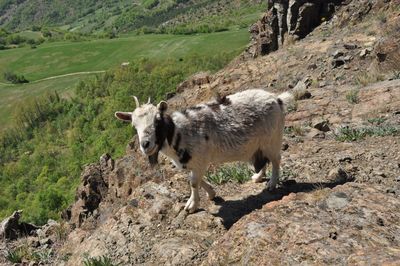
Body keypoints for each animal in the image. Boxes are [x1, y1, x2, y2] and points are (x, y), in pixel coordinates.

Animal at [115, 88, 294, 213]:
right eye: (134, 125)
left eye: (157, 120)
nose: (145, 144)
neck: (179, 132)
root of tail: (277, 99)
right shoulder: (192, 162)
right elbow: (196, 179)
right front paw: (211, 193)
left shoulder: (200, 158)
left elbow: (193, 182)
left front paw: (192, 205)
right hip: (259, 143)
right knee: (263, 158)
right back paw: (258, 177)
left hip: (272, 138)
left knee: (276, 159)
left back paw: (272, 183)